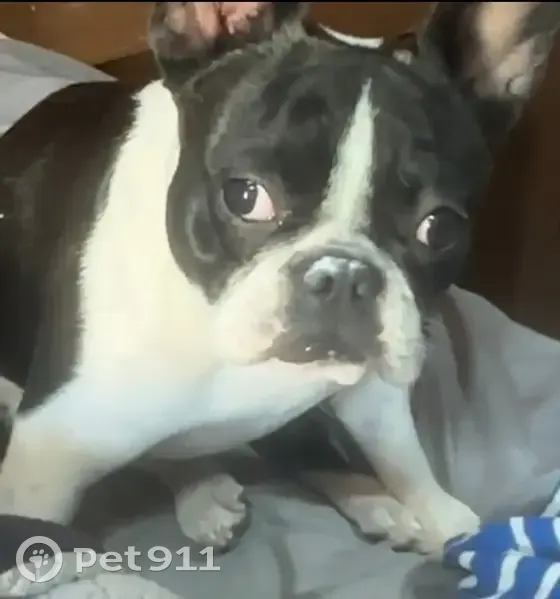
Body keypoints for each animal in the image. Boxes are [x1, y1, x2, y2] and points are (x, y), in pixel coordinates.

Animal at [0, 2, 557, 556]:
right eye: (245, 196)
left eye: (440, 228)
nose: (344, 275)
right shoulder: (45, 464)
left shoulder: (375, 391)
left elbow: (400, 453)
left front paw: (444, 517)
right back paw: (204, 488)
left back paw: (369, 500)